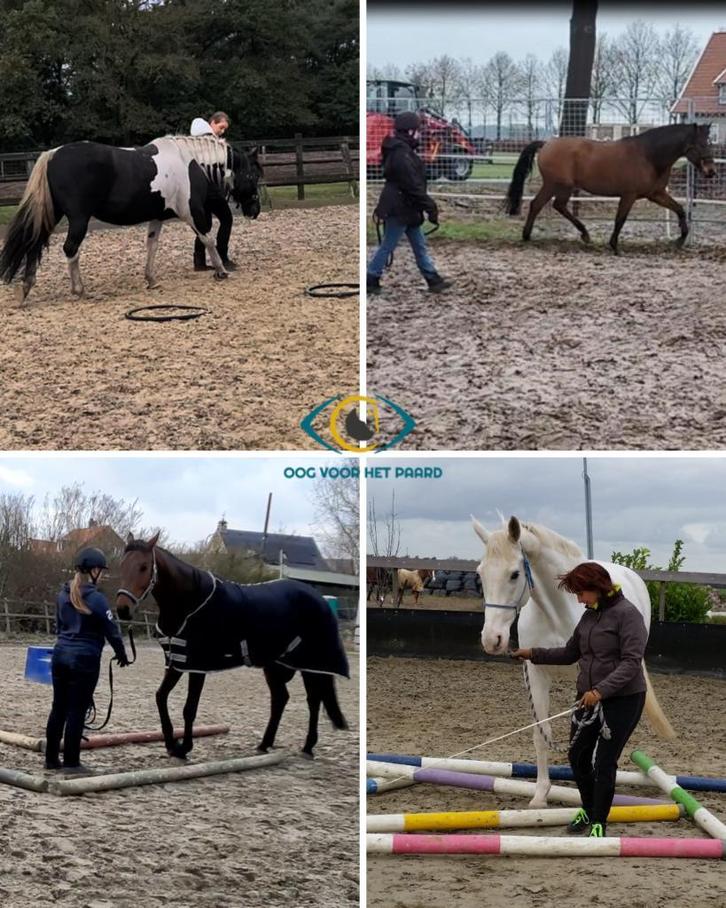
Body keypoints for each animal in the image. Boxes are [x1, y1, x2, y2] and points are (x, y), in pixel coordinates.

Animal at [0, 135, 262, 302]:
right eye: (252, 174)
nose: (255, 209)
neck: (188, 162)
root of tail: (53, 155)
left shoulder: (157, 217)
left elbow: (152, 245)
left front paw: (151, 279)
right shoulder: (192, 212)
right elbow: (208, 239)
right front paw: (221, 271)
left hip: (52, 215)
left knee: (34, 243)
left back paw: (26, 287)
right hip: (78, 219)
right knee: (70, 248)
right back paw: (80, 291)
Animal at [116, 533, 349, 760]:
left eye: (144, 566)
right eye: (122, 564)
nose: (122, 610)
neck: (189, 603)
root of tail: (319, 598)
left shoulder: (196, 666)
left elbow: (189, 708)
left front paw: (184, 748)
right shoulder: (177, 662)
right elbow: (160, 697)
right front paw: (171, 743)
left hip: (311, 664)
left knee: (313, 700)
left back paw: (308, 747)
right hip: (276, 666)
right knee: (281, 698)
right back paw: (265, 744)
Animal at [504, 123, 716, 253]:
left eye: (710, 143)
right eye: (700, 144)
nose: (711, 171)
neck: (649, 155)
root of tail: (546, 143)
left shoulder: (656, 194)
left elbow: (679, 209)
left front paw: (680, 240)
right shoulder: (629, 195)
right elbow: (620, 219)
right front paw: (614, 246)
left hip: (563, 187)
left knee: (555, 206)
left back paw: (581, 235)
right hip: (555, 185)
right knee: (540, 204)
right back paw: (529, 235)